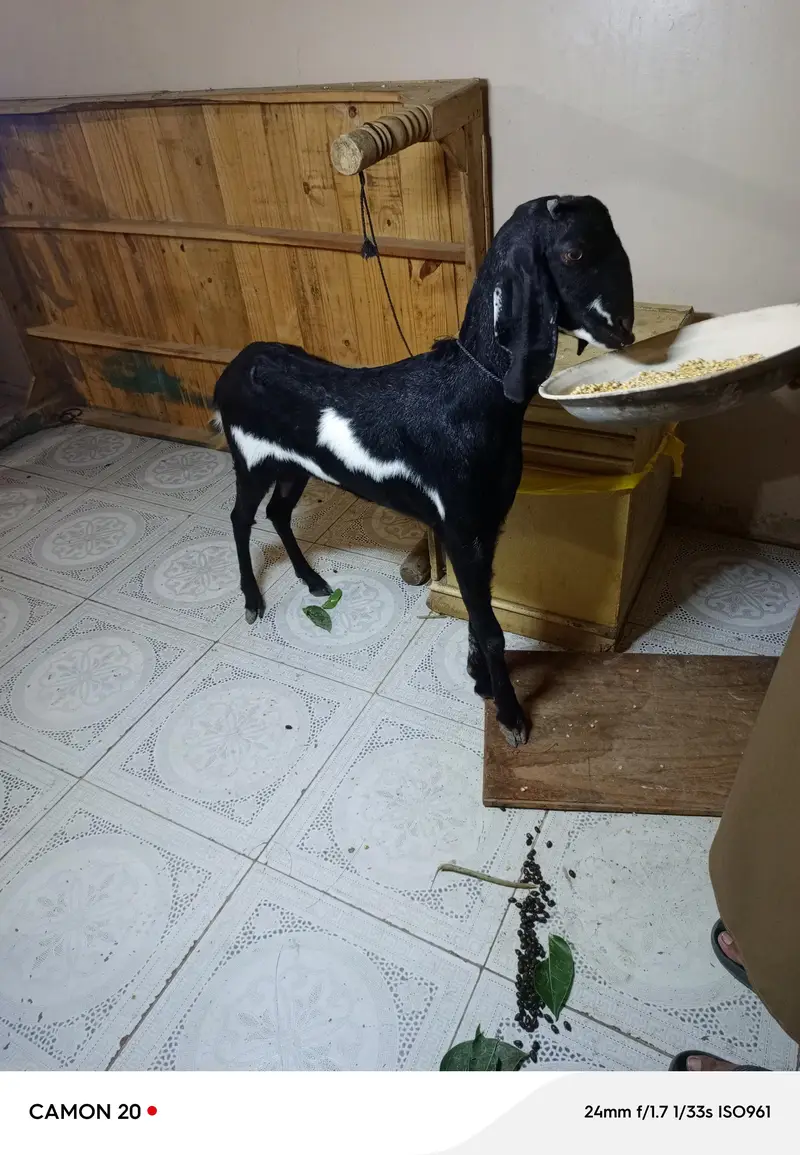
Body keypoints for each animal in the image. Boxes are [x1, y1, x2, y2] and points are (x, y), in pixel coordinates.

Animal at [213, 195, 634, 745]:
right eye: (574, 253)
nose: (622, 329)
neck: (472, 391)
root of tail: (234, 367)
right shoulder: (458, 525)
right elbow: (491, 628)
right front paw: (510, 716)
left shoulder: (486, 523)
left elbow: (480, 611)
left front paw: (479, 680)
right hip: (251, 459)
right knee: (242, 517)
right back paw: (252, 599)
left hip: (293, 466)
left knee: (279, 513)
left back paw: (314, 582)